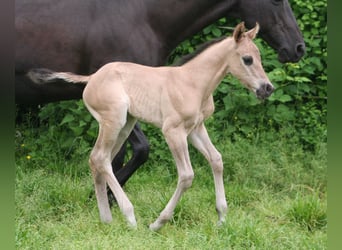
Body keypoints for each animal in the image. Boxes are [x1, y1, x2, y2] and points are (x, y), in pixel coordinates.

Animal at [16, 0, 304, 203]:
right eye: (277, 0)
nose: (298, 48)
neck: (142, 16)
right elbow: (139, 150)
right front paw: (104, 198)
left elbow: (120, 155)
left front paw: (105, 198)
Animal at [29, 22, 276, 229]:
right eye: (247, 59)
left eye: (259, 56)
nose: (267, 88)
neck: (194, 83)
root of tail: (91, 78)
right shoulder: (173, 131)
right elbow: (187, 175)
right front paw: (158, 223)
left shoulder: (196, 128)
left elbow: (216, 160)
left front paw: (222, 218)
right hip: (113, 121)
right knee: (100, 158)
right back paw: (130, 218)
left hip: (125, 125)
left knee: (97, 159)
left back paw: (106, 219)